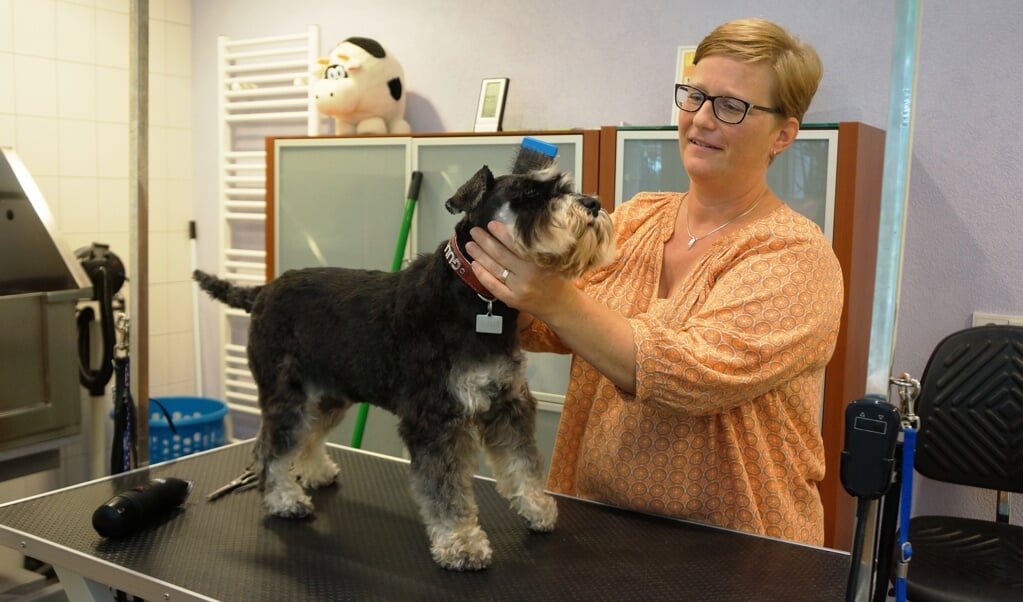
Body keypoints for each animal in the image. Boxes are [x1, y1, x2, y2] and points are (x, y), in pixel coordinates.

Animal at [194, 158, 609, 569]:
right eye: (528, 195)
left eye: (564, 186)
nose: (592, 203)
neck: (475, 297)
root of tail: (263, 292)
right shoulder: (436, 419)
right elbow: (447, 490)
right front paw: (461, 543)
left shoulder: (508, 403)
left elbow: (522, 462)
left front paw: (537, 508)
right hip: (287, 397)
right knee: (271, 450)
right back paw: (284, 499)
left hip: (328, 395)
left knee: (307, 435)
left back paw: (315, 471)